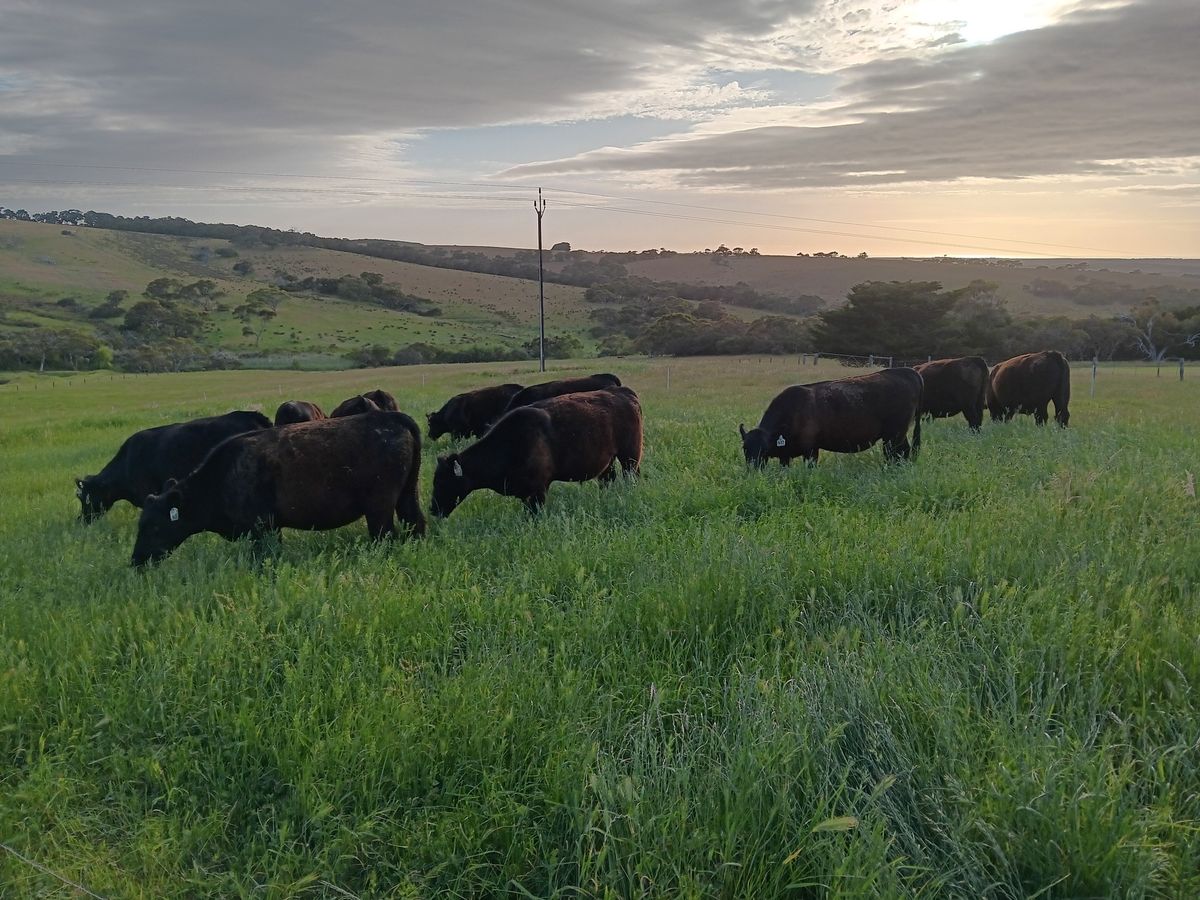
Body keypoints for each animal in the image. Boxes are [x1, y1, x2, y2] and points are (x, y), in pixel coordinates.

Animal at [127, 410, 422, 566]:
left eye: (154, 527)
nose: (137, 561)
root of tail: (390, 417)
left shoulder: (263, 527)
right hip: (407, 495)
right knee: (417, 523)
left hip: (380, 508)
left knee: (386, 536)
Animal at [429, 384, 643, 518]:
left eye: (441, 482)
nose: (432, 510)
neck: (510, 443)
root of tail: (624, 392)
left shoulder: (537, 491)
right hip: (607, 462)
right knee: (608, 479)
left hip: (630, 456)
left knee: (630, 476)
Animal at [734, 367, 921, 468]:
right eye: (745, 448)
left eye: (764, 449)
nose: (753, 470)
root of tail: (907, 372)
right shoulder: (785, 455)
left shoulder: (811, 450)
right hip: (897, 435)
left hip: (894, 435)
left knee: (896, 454)